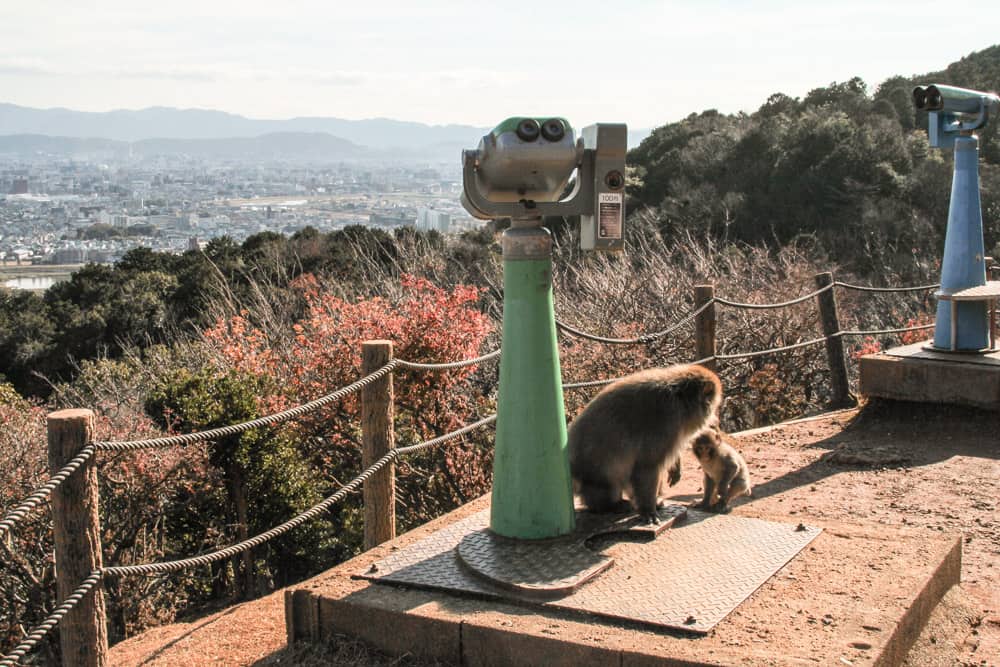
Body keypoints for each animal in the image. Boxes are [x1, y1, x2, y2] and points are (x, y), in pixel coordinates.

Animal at [572, 368, 720, 524]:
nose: (715, 419)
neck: (680, 400)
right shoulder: (666, 422)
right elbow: (647, 465)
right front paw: (648, 510)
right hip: (594, 477)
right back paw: (610, 505)